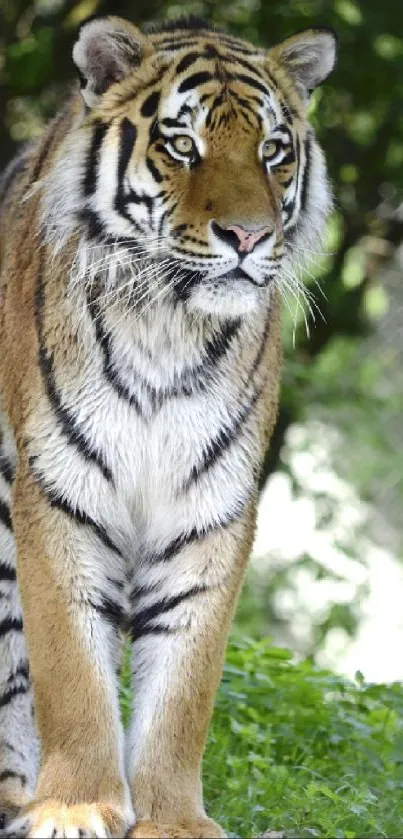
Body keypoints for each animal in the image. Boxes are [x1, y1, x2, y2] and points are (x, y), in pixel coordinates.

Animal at [0, 13, 336, 839]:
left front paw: (172, 819)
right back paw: (18, 793)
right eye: (183, 145)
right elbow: (69, 669)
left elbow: (185, 686)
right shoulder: (58, 492)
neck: (166, 324)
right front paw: (74, 805)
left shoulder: (210, 510)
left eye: (272, 150)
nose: (247, 238)